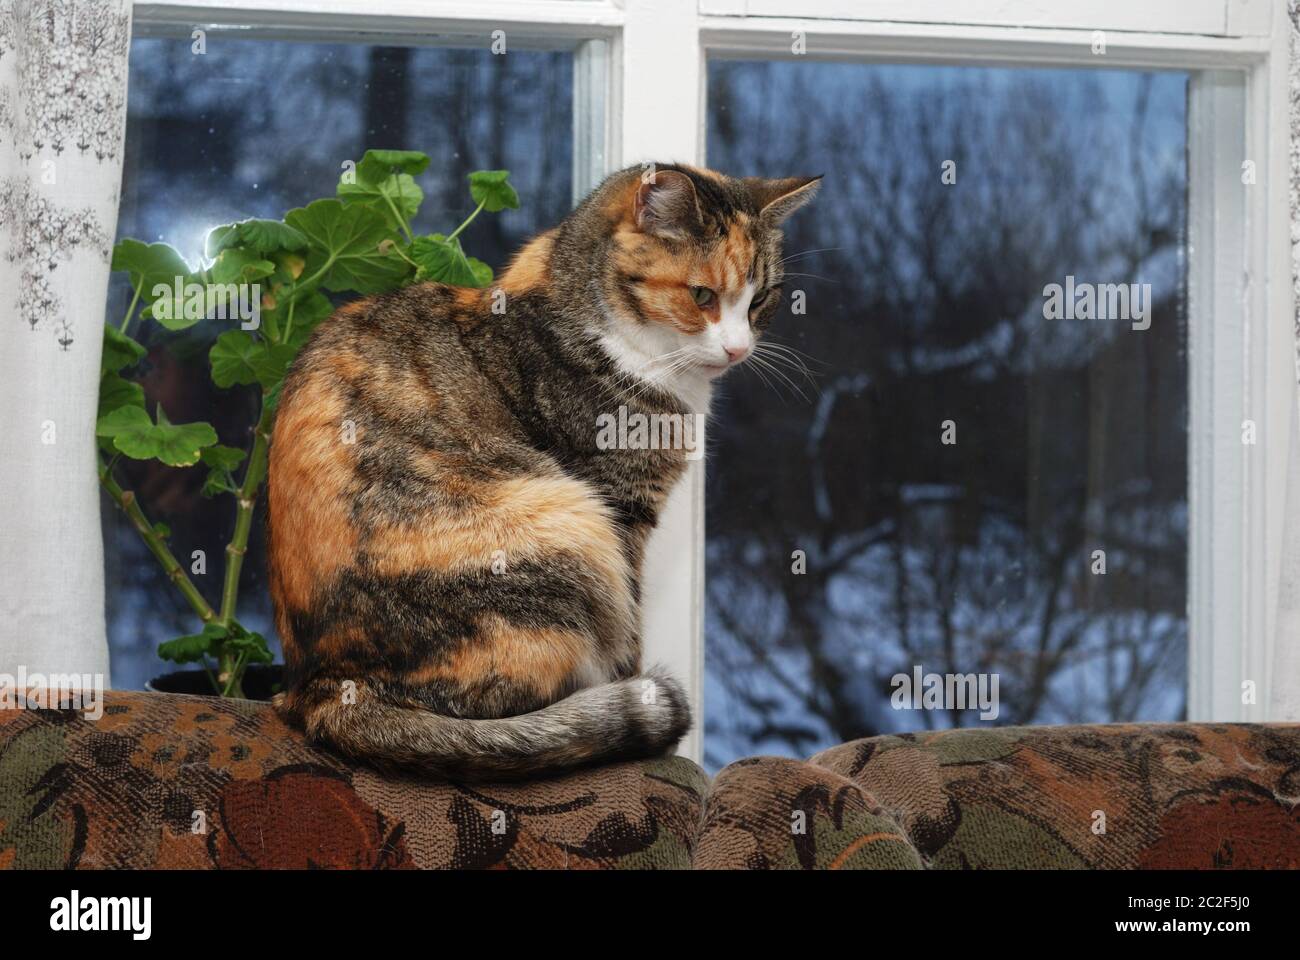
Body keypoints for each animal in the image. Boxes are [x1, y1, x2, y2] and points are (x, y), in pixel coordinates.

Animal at [265, 162, 816, 780]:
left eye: (761, 298)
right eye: (702, 296)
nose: (739, 349)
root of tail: (322, 688)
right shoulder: (620, 509)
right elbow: (632, 632)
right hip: (571, 528)